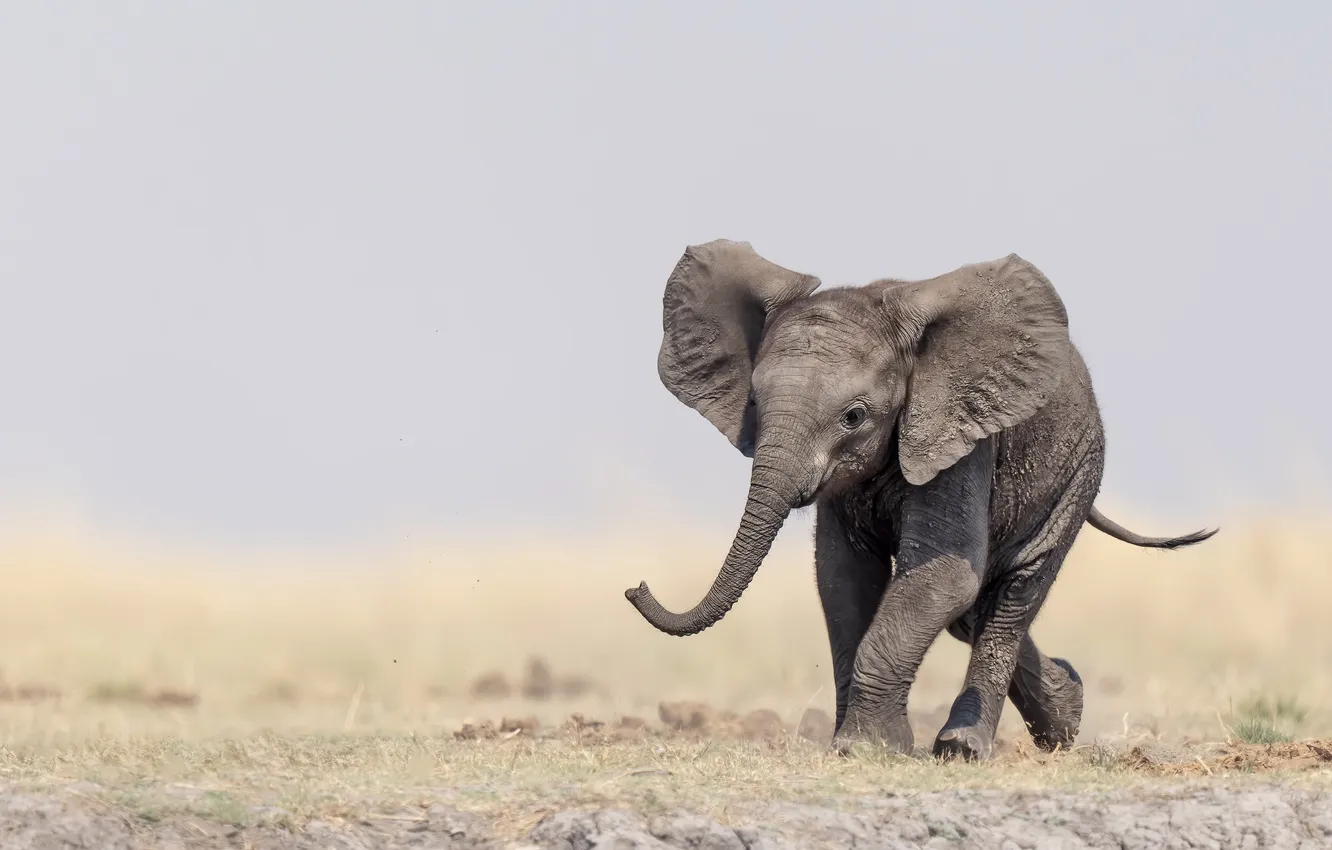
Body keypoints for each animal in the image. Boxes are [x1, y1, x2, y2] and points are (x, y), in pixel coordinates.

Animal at [625, 239, 1217, 761]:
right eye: (753, 402)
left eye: (854, 416)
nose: (635, 587)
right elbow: (844, 578)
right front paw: (856, 745)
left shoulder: (959, 437)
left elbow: (942, 574)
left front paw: (867, 749)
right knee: (973, 610)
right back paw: (1065, 714)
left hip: (1076, 471)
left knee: (1013, 595)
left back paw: (967, 747)